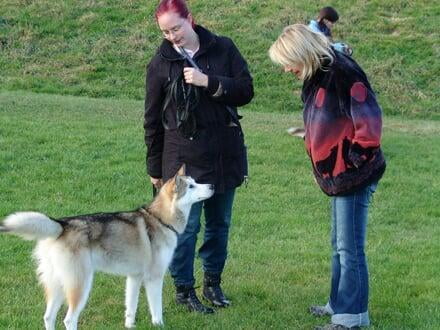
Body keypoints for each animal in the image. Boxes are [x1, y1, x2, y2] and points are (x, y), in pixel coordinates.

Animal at [0, 165, 213, 330]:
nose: (211, 185)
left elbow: (131, 308)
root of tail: (62, 225)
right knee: (69, 319)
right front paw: (159, 325)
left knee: (48, 317)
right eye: (191, 186)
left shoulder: (134, 277)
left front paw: (130, 326)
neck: (161, 220)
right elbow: (157, 310)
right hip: (80, 284)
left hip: (57, 284)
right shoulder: (154, 277)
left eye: (196, 181)